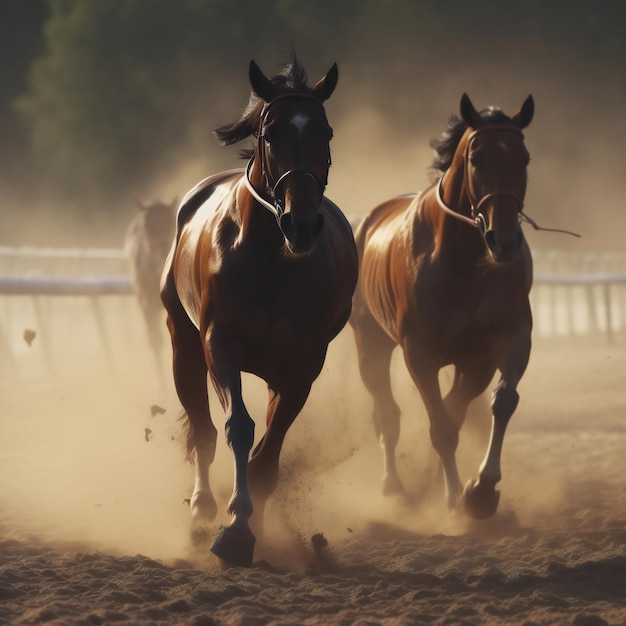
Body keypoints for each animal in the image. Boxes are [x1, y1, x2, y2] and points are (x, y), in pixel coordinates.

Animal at [161, 54, 356, 564]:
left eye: (325, 132)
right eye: (272, 134)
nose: (302, 223)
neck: (274, 260)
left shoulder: (303, 365)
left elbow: (268, 453)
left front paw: (250, 529)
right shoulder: (219, 343)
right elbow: (238, 429)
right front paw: (233, 527)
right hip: (183, 343)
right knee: (203, 428)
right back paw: (201, 510)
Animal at [348, 94, 532, 516]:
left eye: (524, 158)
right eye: (477, 158)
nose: (504, 241)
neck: (465, 260)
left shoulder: (496, 346)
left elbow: (497, 402)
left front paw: (481, 489)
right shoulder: (420, 353)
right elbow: (442, 426)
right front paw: (453, 495)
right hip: (372, 344)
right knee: (387, 413)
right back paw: (393, 485)